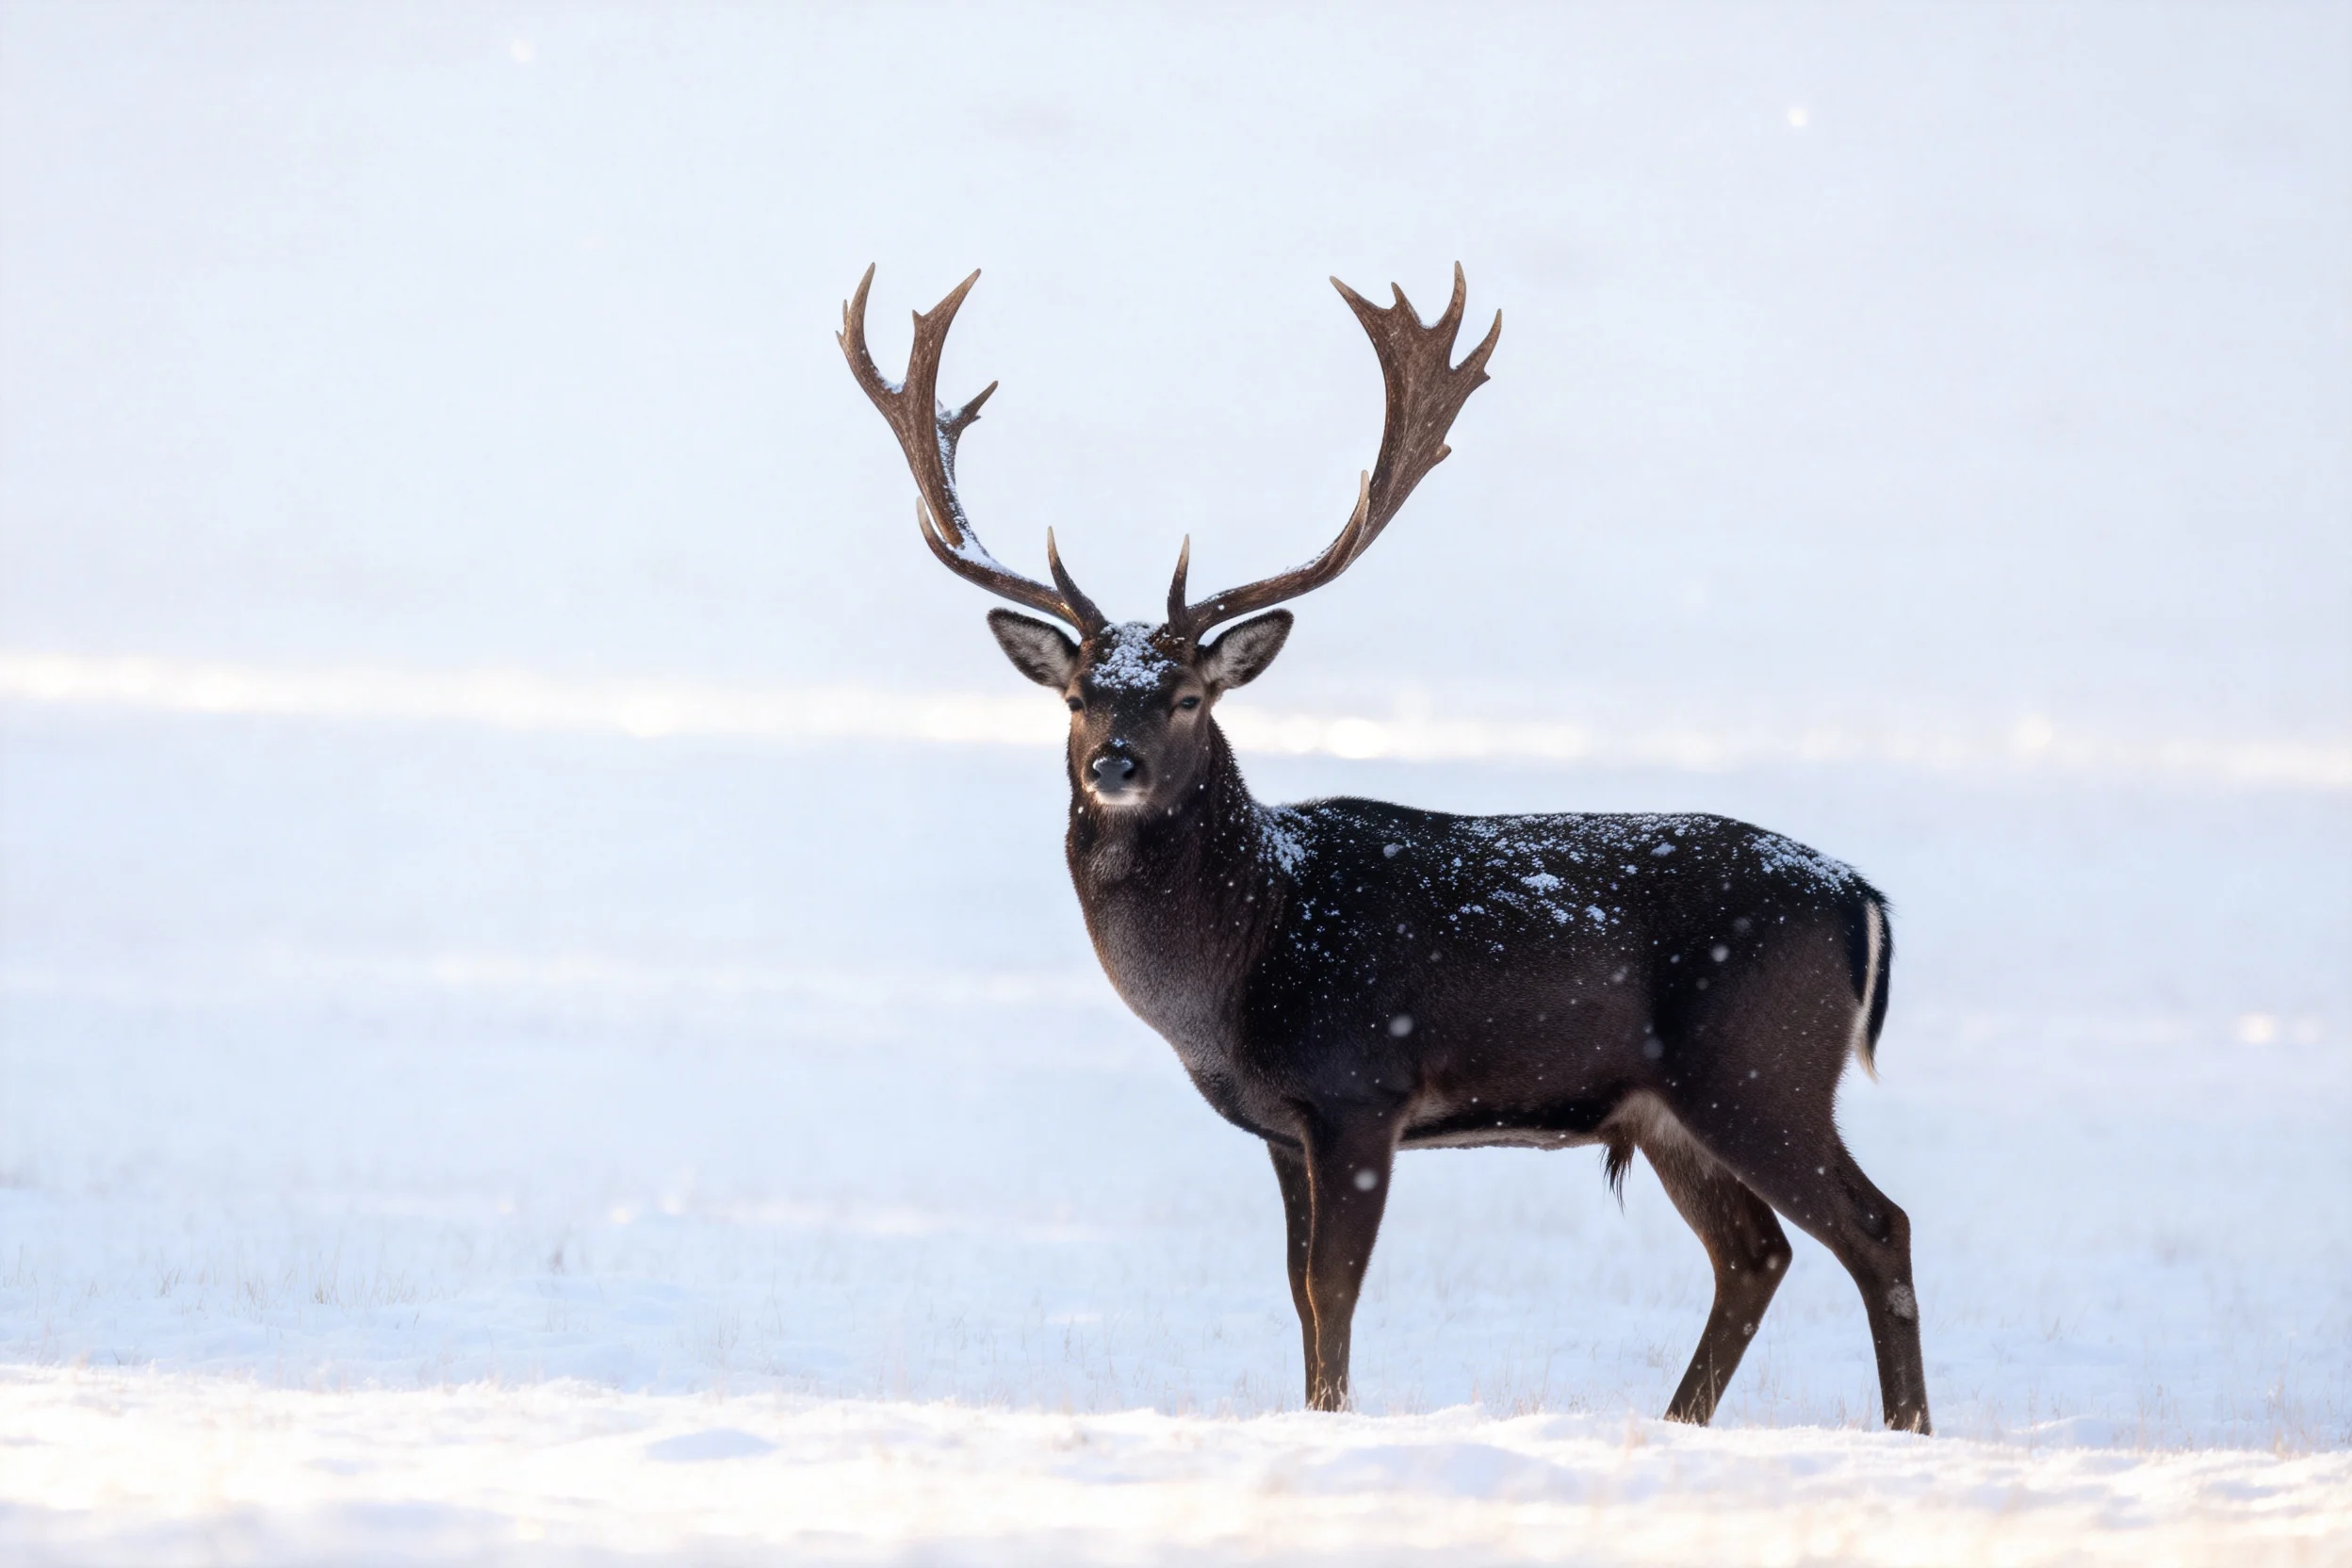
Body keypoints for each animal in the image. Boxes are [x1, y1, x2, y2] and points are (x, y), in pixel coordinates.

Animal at [838, 264, 1931, 1433]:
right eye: (1082, 692)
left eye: (1186, 696)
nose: (1114, 765)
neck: (1248, 946)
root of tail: (1862, 898)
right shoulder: (1282, 1125)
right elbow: (1296, 1285)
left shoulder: (1360, 1086)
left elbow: (1335, 1285)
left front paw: (1332, 1417)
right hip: (1673, 1107)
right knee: (1755, 1252)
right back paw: (1681, 1422)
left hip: (1761, 1064)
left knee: (1877, 1225)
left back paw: (1906, 1427)